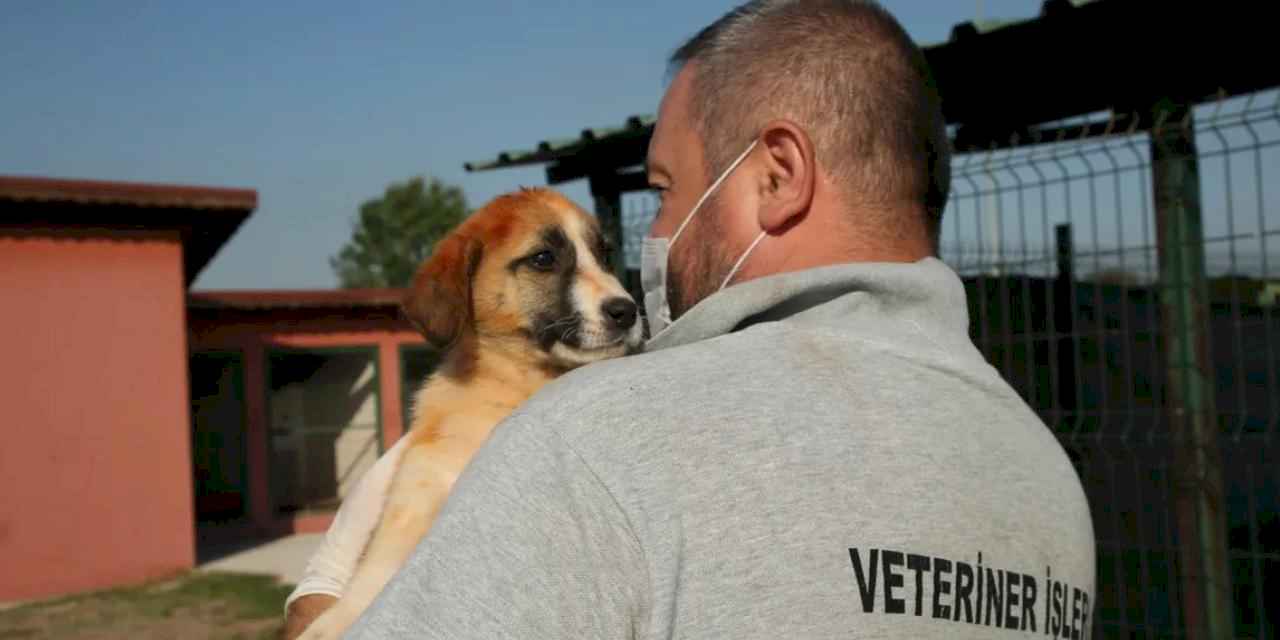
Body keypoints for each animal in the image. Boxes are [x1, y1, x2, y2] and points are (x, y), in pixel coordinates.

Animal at [294, 186, 645, 637]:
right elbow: (376, 568)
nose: (627, 310)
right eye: (543, 258)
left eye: (605, 255)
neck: (514, 385)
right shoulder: (417, 489)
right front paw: (331, 622)